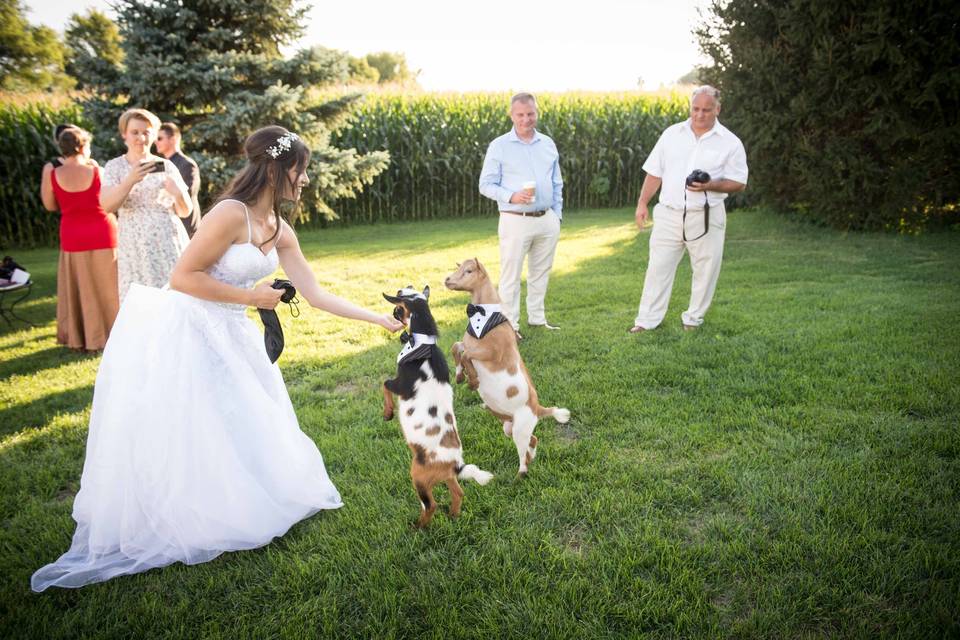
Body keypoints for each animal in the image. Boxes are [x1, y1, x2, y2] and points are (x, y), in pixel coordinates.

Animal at [380, 288, 492, 528]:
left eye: (398, 304)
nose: (392, 313)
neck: (423, 341)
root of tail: (455, 464)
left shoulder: (400, 384)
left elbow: (384, 383)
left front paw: (388, 413)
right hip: (447, 478)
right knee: (458, 493)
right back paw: (454, 516)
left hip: (419, 478)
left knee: (430, 505)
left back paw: (418, 528)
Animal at [444, 258, 568, 478]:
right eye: (459, 268)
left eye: (469, 271)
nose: (447, 280)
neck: (483, 317)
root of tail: (538, 409)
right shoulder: (469, 344)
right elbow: (457, 347)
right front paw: (459, 376)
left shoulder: (493, 353)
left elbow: (465, 354)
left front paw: (473, 380)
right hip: (510, 427)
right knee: (533, 440)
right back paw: (532, 458)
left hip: (519, 429)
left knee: (523, 453)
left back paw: (520, 474)